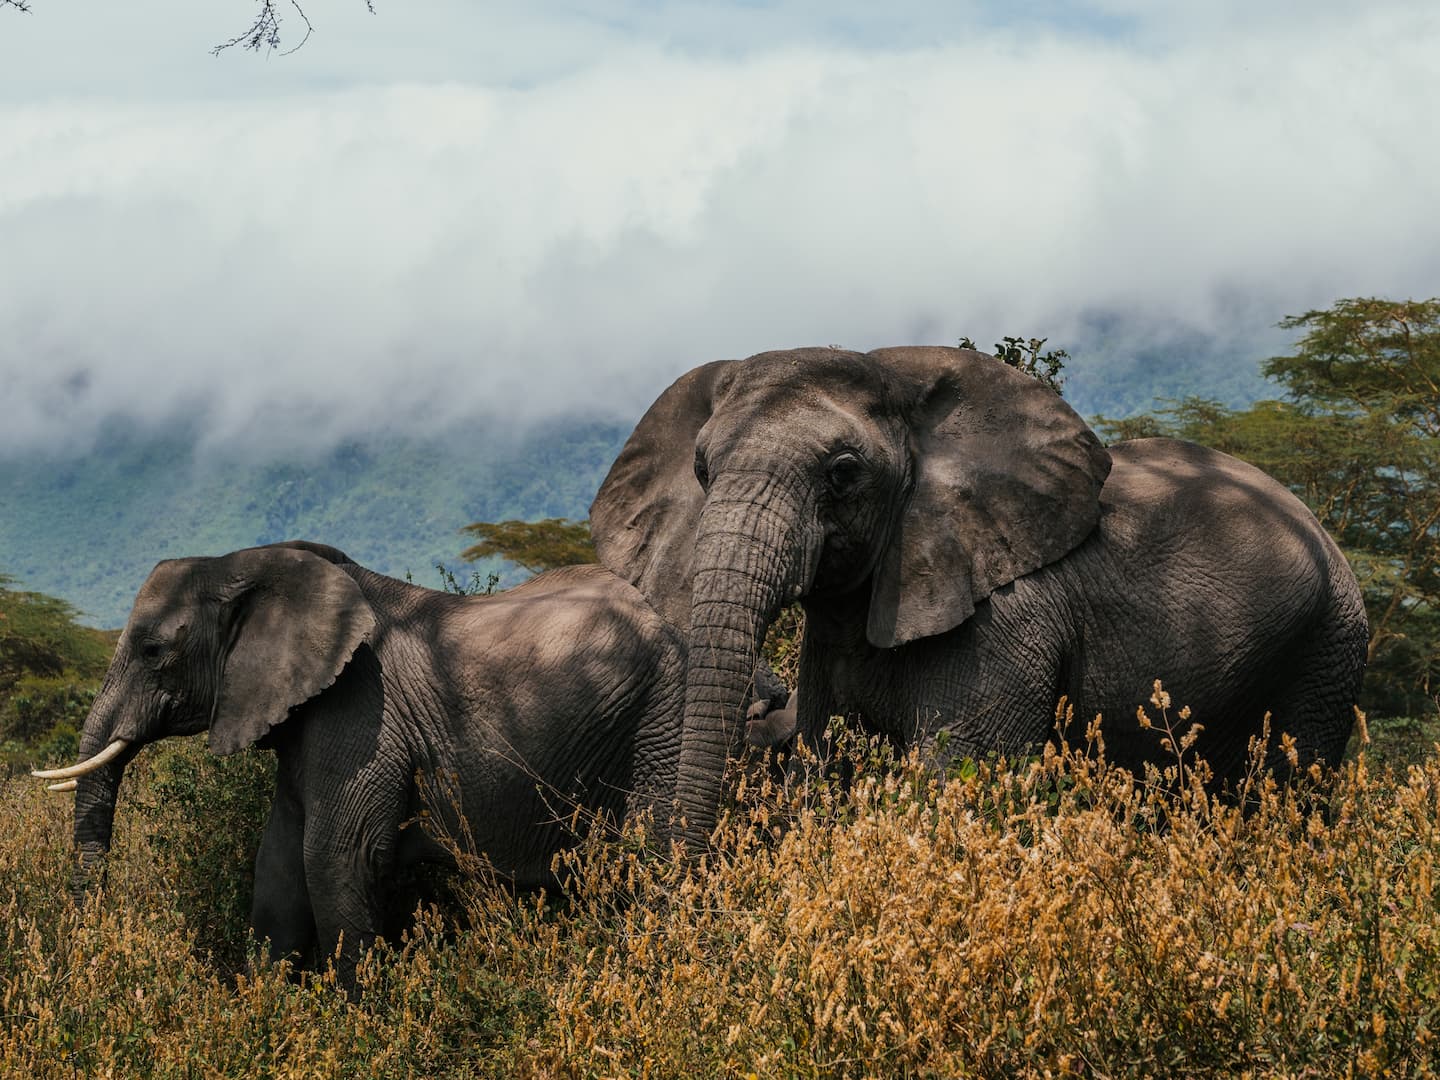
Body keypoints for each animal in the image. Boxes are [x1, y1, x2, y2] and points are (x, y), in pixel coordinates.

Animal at [35, 541, 685, 973]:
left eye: (152, 651)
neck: (247, 563)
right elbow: (279, 865)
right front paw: (267, 1012)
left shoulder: (361, 709)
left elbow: (336, 858)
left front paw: (357, 1017)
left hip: (658, 726)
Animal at [589, 345, 1369, 848]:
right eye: (701, 468)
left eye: (842, 473)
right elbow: (828, 768)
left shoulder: (1005, 621)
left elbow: (952, 778)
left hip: (1329, 645)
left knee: (1290, 798)